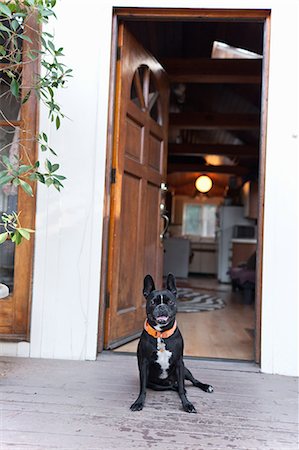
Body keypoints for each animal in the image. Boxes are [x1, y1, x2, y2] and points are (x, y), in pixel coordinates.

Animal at [131, 272, 213, 414]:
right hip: (156, 385)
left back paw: (205, 386)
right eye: (152, 302)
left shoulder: (180, 363)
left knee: (192, 381)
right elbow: (143, 389)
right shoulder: (144, 364)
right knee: (171, 387)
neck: (161, 334)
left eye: (170, 302)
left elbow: (181, 388)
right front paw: (139, 402)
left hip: (185, 370)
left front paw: (187, 404)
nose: (161, 306)